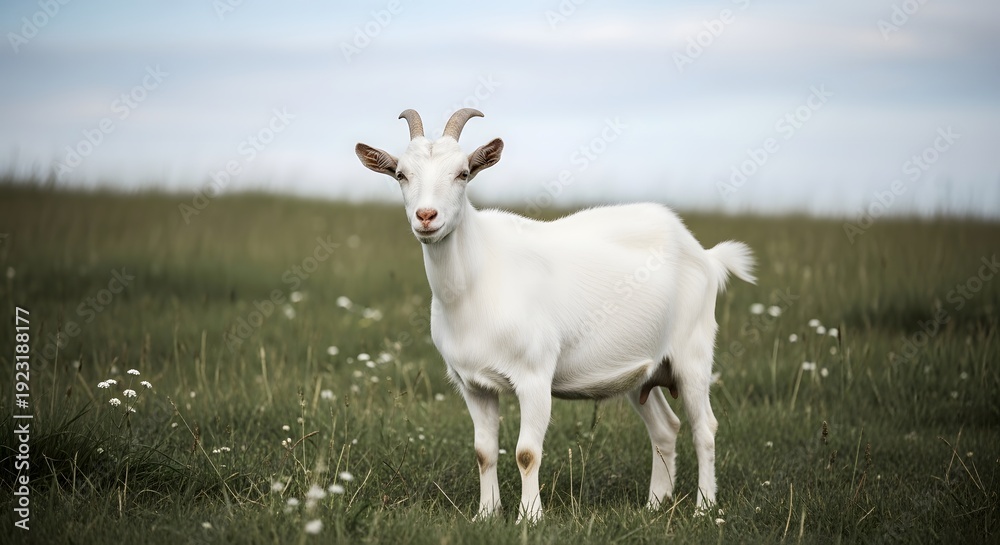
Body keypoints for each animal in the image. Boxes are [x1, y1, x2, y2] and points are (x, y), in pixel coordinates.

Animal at [356, 108, 755, 522]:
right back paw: (654, 504)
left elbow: (527, 453)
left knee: (704, 428)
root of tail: (706, 255)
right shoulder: (473, 384)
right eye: (400, 174)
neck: (476, 280)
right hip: (644, 371)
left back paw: (704, 508)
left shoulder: (534, 375)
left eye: (463, 173)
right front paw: (486, 516)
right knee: (666, 427)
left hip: (693, 353)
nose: (426, 216)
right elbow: (484, 452)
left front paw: (529, 518)